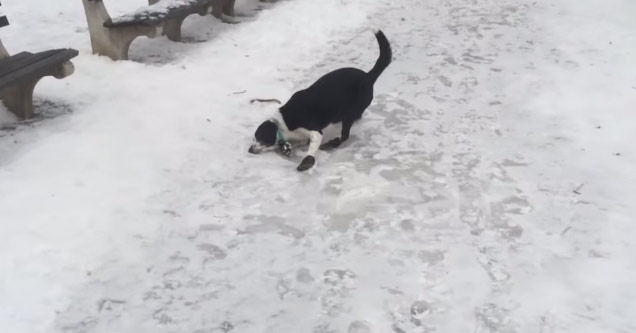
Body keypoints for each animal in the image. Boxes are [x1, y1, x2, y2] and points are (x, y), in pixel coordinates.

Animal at [248, 28, 392, 171]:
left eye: (260, 136)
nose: (249, 150)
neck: (282, 123)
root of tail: (368, 76)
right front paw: (287, 148)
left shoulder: (315, 131)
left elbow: (312, 148)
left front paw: (307, 161)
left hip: (350, 113)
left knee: (345, 135)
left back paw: (333, 143)